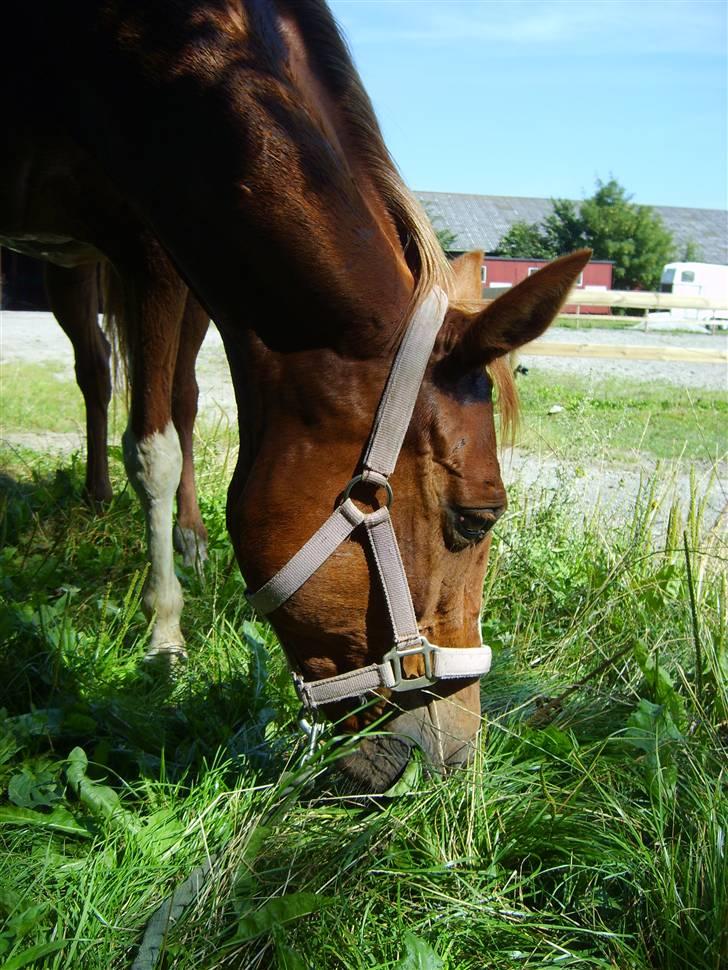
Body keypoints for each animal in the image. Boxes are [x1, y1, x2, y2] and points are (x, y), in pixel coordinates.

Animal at [1, 0, 592, 788]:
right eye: (478, 520)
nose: (461, 753)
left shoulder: (167, 250)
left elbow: (164, 426)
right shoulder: (151, 246)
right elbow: (150, 448)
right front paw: (165, 637)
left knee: (162, 391)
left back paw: (182, 536)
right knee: (104, 378)